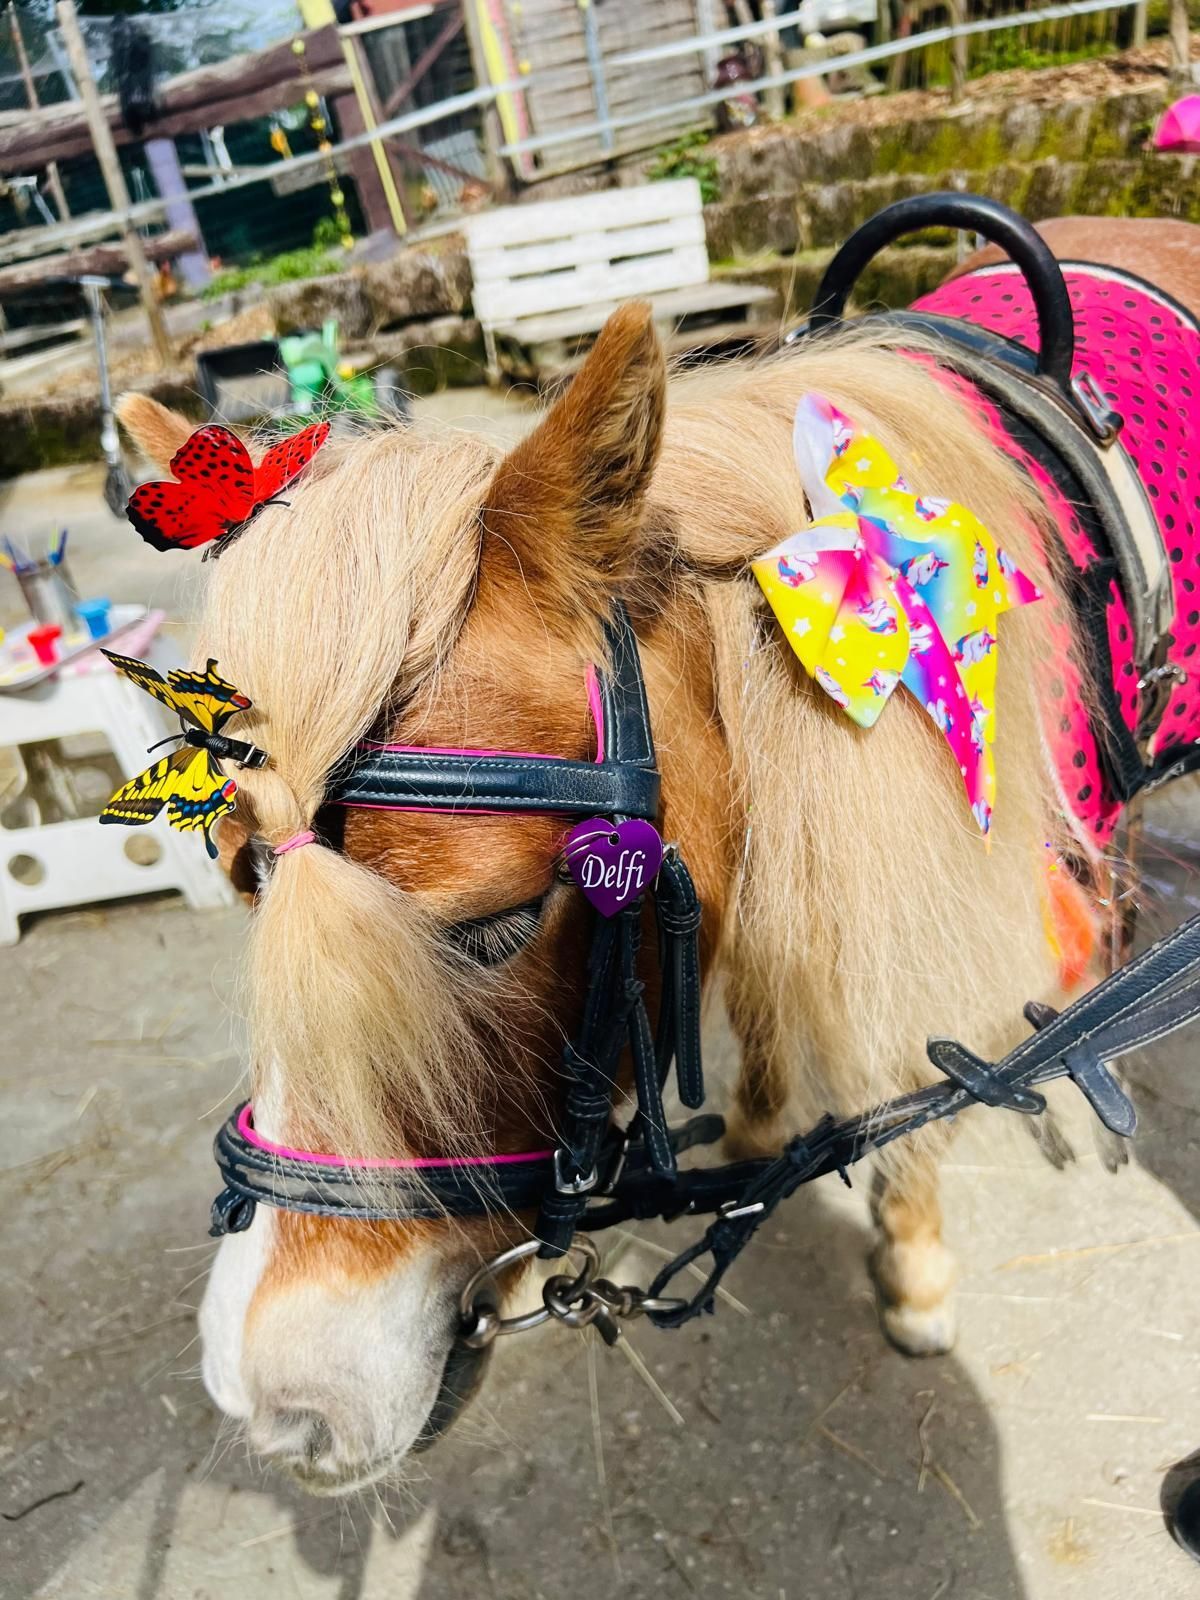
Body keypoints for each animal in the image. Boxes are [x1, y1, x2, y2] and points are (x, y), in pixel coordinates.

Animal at [117, 208, 1200, 1495]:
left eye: (493, 928)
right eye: (247, 882)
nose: (282, 1404)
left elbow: (894, 1050)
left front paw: (917, 1268)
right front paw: (763, 1114)